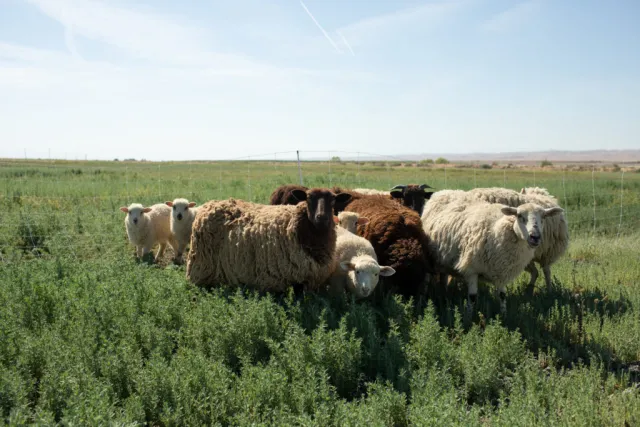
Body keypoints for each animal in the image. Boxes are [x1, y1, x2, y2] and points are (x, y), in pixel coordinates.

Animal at [186, 188, 352, 292]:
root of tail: (209, 205)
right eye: (308, 198)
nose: (321, 217)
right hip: (202, 269)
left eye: (333, 200)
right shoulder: (294, 279)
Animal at [421, 199, 564, 313]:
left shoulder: (502, 272)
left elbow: (502, 295)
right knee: (427, 279)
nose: (535, 237)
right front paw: (469, 317)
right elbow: (472, 298)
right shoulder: (471, 270)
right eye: (519, 215)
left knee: (443, 278)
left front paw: (503, 315)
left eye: (544, 216)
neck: (496, 230)